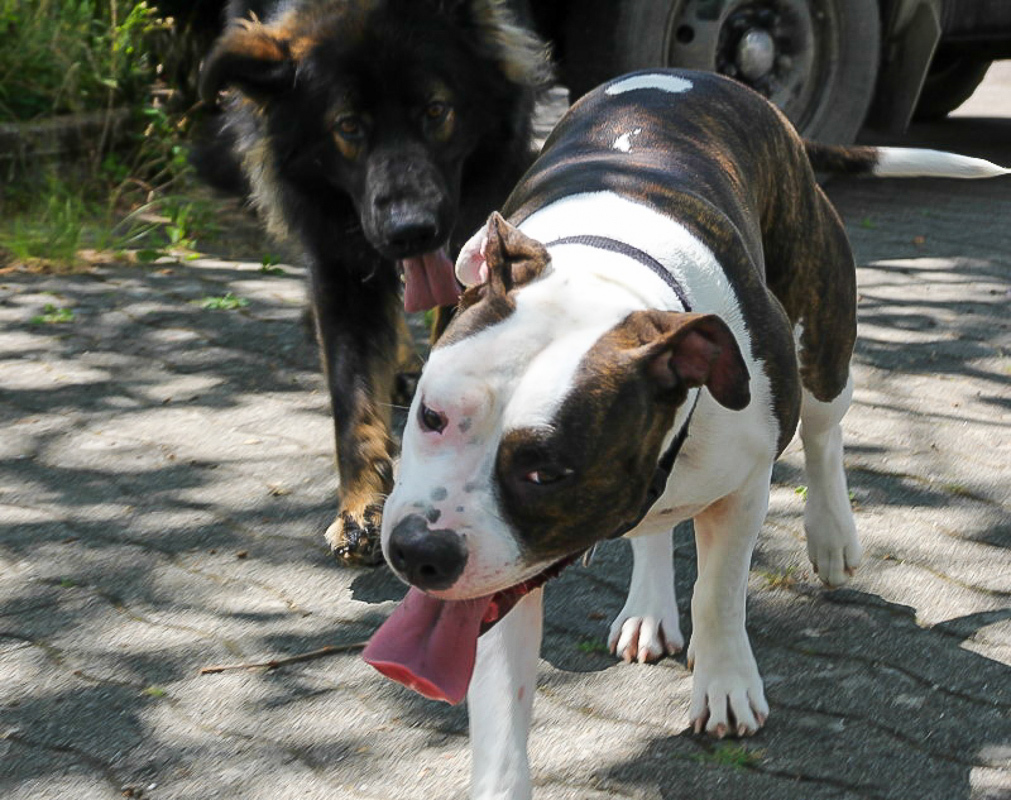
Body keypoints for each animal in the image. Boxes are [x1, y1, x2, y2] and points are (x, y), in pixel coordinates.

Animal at [197, 0, 554, 562]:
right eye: (348, 126)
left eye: (435, 110)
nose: (410, 231)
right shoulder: (337, 259)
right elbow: (351, 391)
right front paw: (360, 506)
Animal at [361, 70, 1002, 800]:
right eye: (430, 416)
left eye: (547, 471)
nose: (419, 550)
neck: (608, 273)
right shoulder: (495, 581)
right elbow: (501, 701)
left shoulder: (744, 485)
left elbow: (718, 594)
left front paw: (724, 682)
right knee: (653, 530)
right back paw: (648, 608)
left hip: (821, 342)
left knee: (823, 433)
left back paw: (831, 535)